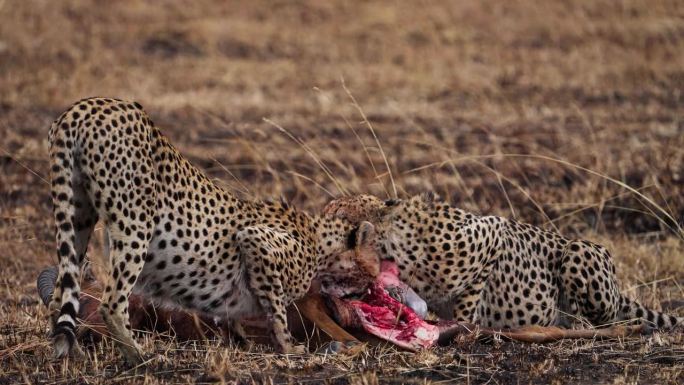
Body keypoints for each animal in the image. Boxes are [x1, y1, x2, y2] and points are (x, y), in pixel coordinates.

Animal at [46, 97, 374, 364]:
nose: (370, 288)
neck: (322, 241)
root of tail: (85, 106)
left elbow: (232, 318)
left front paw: (240, 343)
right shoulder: (257, 243)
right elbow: (277, 310)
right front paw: (289, 348)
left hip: (77, 217)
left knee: (60, 293)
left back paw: (72, 352)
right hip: (135, 222)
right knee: (112, 302)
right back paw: (140, 356)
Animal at [326, 194, 684, 328]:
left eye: (336, 214)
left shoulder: (493, 232)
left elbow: (469, 298)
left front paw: (464, 326)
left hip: (579, 250)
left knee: (601, 319)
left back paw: (574, 323)